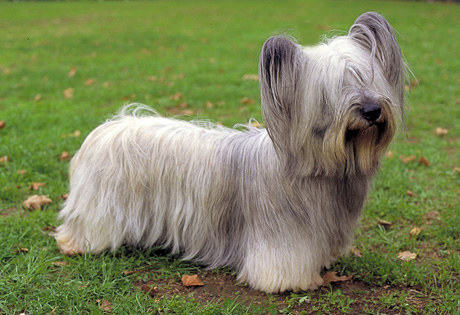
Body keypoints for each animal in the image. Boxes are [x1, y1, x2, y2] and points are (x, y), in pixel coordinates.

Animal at [55, 12, 404, 294]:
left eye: (367, 77)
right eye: (330, 90)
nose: (372, 111)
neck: (324, 168)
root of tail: (110, 126)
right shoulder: (281, 237)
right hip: (100, 208)